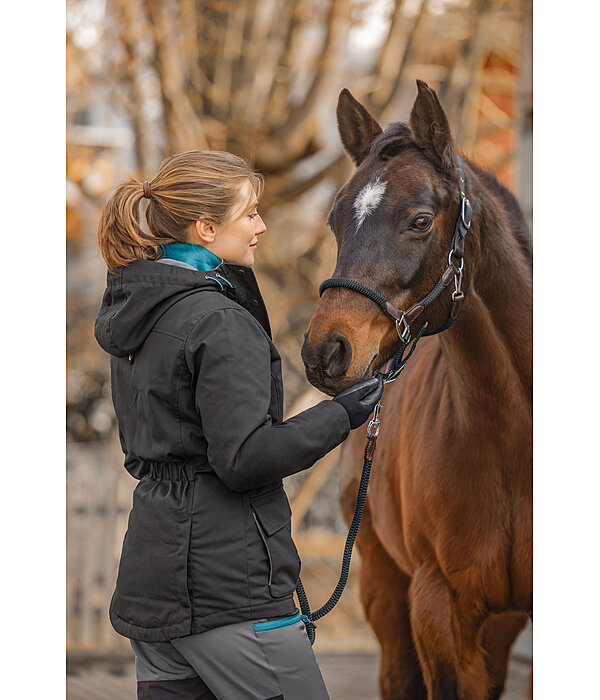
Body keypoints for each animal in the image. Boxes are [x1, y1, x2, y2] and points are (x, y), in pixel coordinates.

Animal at [302, 79, 532, 696]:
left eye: (421, 220)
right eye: (334, 221)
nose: (325, 352)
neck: (512, 436)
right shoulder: (437, 604)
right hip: (386, 593)